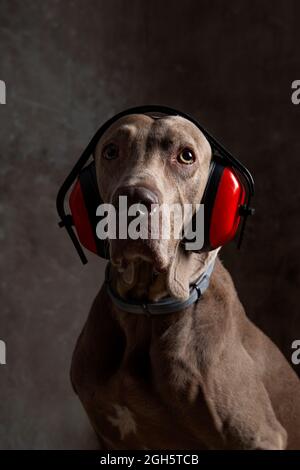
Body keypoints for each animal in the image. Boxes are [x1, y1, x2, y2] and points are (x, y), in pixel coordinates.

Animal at [69, 112, 300, 450]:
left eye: (186, 156)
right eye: (111, 151)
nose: (133, 199)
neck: (145, 310)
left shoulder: (259, 437)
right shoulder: (108, 436)